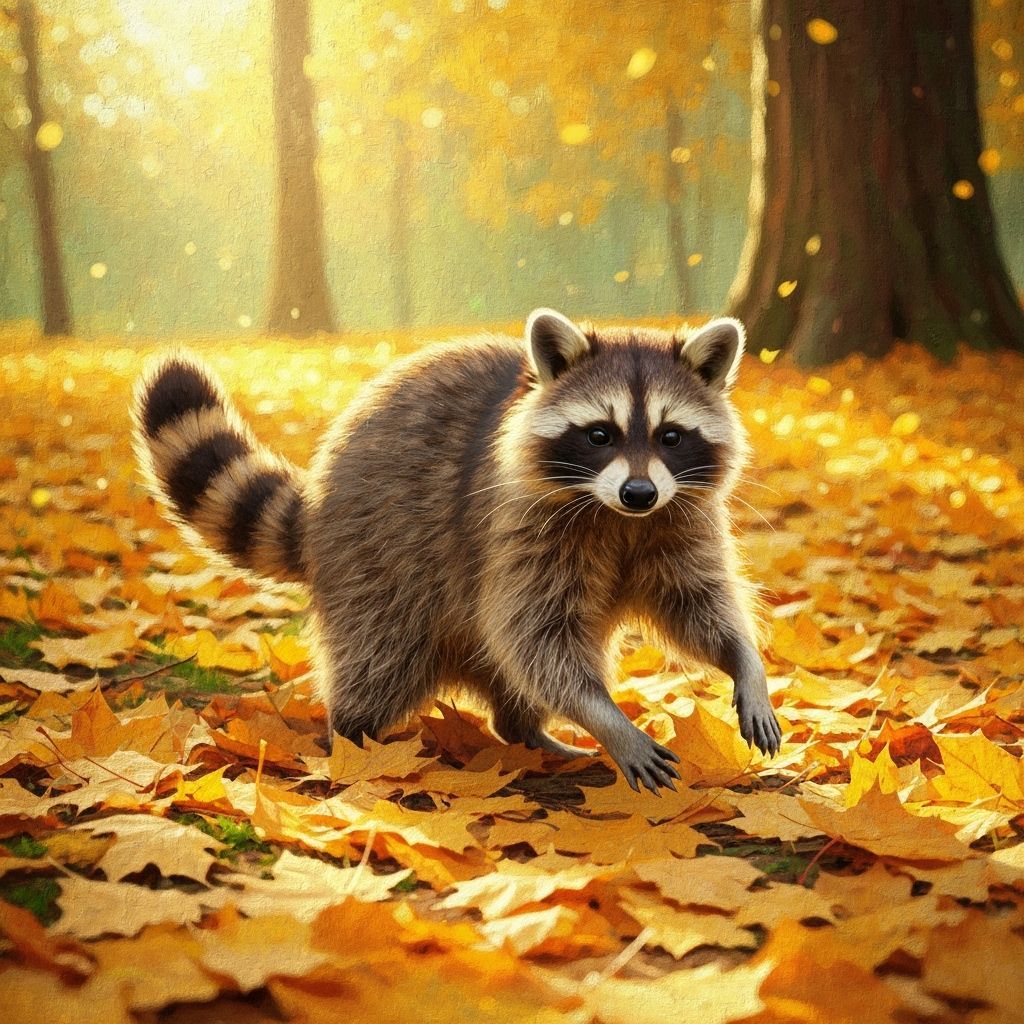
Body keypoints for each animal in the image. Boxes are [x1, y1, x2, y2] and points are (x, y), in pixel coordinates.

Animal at [133, 310, 781, 793]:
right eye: (600, 434)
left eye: (671, 436)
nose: (639, 493)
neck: (617, 520)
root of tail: (317, 504)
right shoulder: (515, 529)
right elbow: (535, 640)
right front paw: (607, 718)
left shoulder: (680, 524)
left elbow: (698, 607)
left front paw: (745, 662)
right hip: (374, 550)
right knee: (380, 655)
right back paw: (355, 739)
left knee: (504, 671)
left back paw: (524, 730)